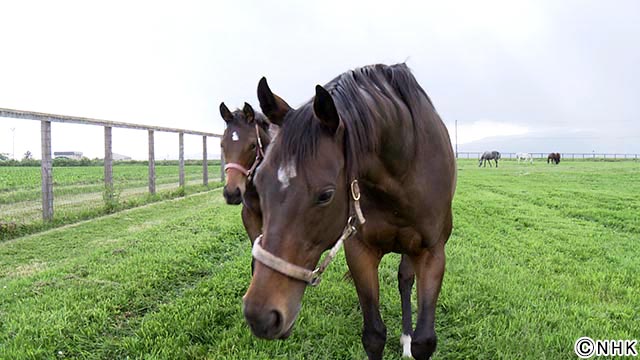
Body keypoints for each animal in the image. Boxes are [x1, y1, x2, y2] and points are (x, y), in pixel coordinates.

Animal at [242, 64, 458, 360]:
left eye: (326, 195)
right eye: (260, 181)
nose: (260, 315)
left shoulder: (433, 253)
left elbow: (424, 340)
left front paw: (412, 340)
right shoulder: (360, 251)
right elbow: (374, 336)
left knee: (404, 280)